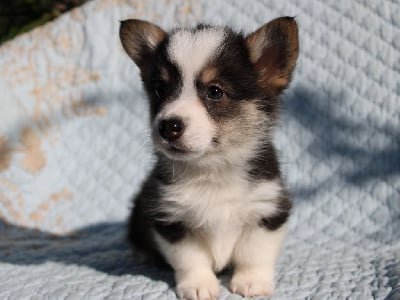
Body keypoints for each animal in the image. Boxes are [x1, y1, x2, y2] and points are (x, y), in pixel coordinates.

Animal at [120, 17, 298, 300]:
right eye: (160, 89)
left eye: (215, 92)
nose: (168, 126)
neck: (213, 169)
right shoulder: (171, 219)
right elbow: (190, 259)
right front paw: (198, 286)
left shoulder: (267, 209)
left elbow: (254, 253)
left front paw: (251, 282)